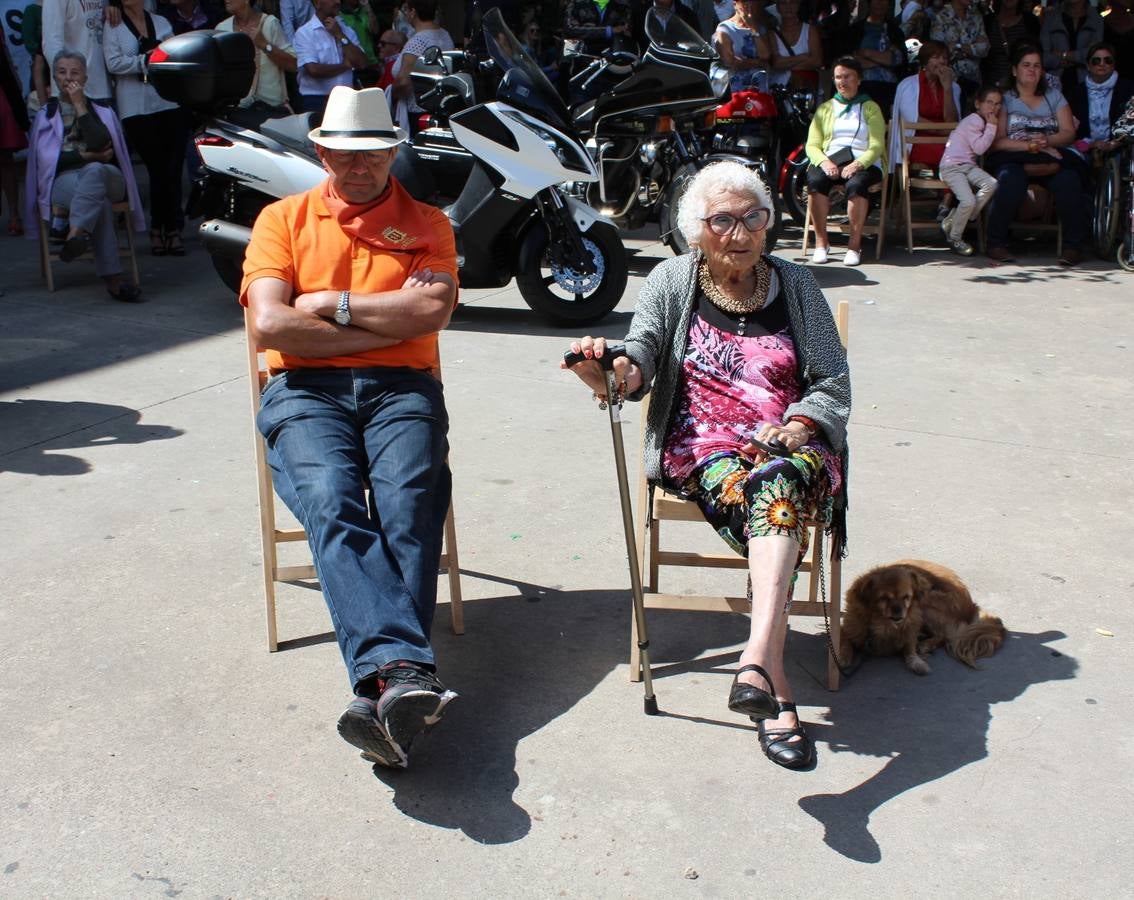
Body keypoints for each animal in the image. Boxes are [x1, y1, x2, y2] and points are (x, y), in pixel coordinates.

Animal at [839, 553, 1006, 671]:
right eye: (884, 598)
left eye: (906, 597)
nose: (899, 611)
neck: (882, 625)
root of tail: (972, 605)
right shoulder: (848, 628)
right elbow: (845, 641)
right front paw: (844, 657)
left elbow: (910, 647)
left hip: (926, 603)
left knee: (944, 635)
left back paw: (926, 644)